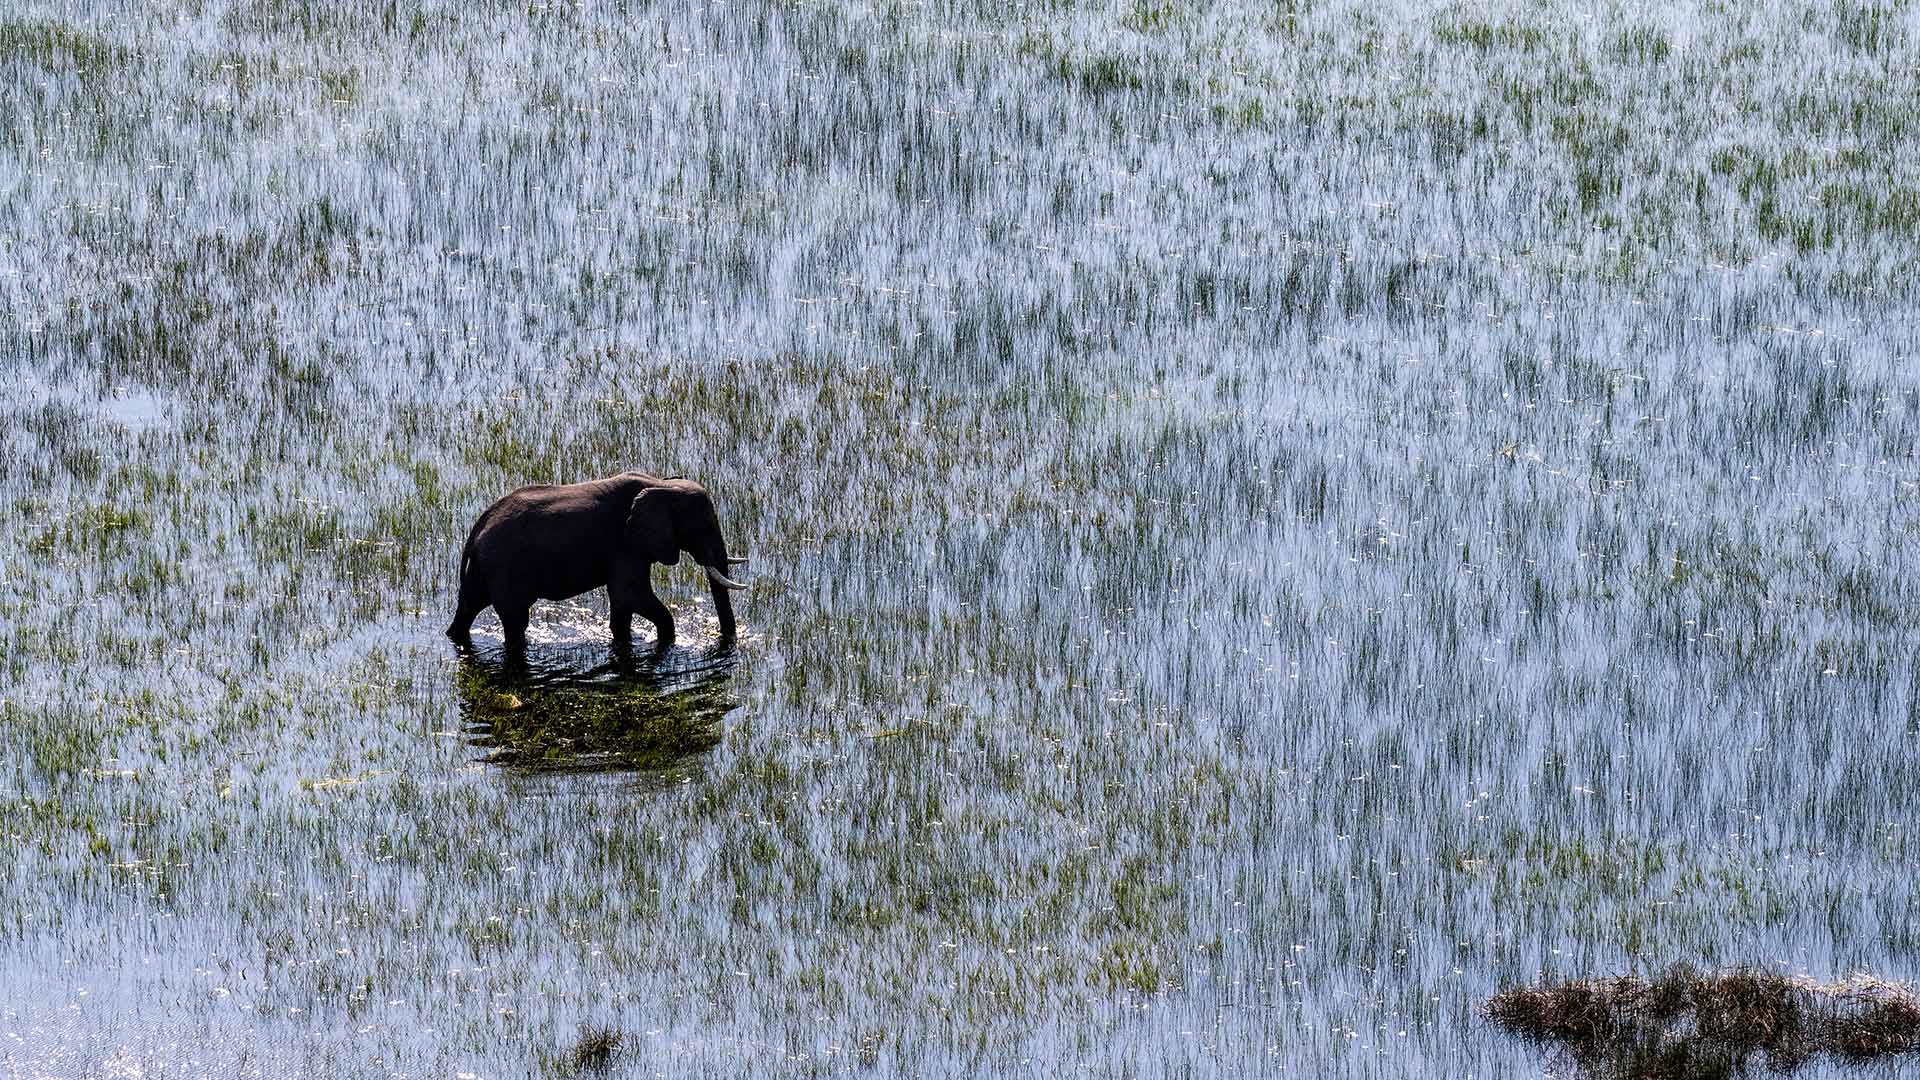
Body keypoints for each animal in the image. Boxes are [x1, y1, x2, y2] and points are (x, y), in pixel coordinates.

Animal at [447, 472, 747, 650]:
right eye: (704, 527)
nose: (725, 640)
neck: (662, 484)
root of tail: (479, 525)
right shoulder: (625, 545)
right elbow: (633, 595)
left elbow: (623, 606)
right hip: (503, 566)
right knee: (514, 619)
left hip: (484, 568)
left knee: (468, 606)